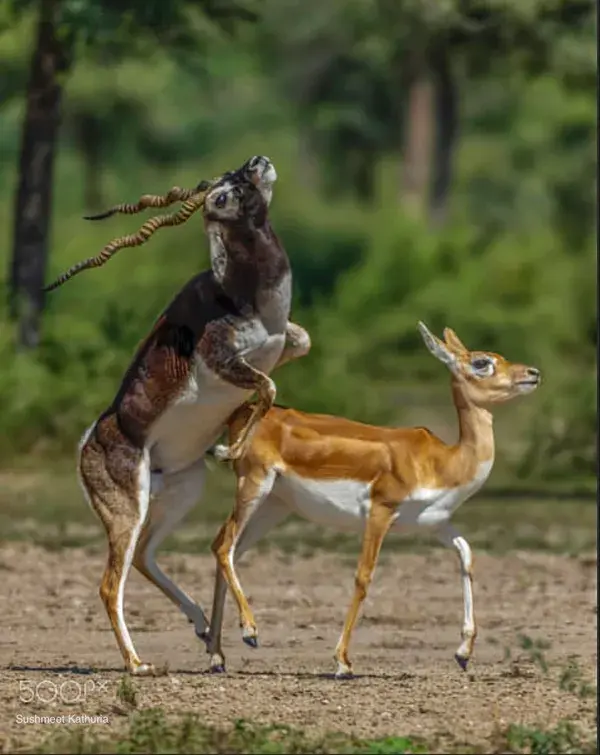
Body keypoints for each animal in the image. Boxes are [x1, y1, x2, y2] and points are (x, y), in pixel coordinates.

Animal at [49, 157, 312, 676]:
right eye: (227, 191)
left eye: (236, 174)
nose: (258, 161)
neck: (248, 296)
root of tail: (90, 438)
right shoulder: (223, 360)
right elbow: (268, 386)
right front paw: (230, 448)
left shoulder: (284, 343)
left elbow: (286, 364)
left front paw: (227, 442)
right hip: (129, 507)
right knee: (110, 583)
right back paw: (139, 664)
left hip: (182, 488)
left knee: (144, 557)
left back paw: (206, 632)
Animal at [206, 322, 540, 676]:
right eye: (481, 362)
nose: (532, 373)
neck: (443, 461)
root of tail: (242, 412)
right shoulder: (381, 511)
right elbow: (363, 577)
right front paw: (342, 662)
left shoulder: (436, 523)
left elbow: (466, 556)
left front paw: (463, 653)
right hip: (254, 486)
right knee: (224, 546)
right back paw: (250, 632)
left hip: (274, 506)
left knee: (228, 549)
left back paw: (217, 656)